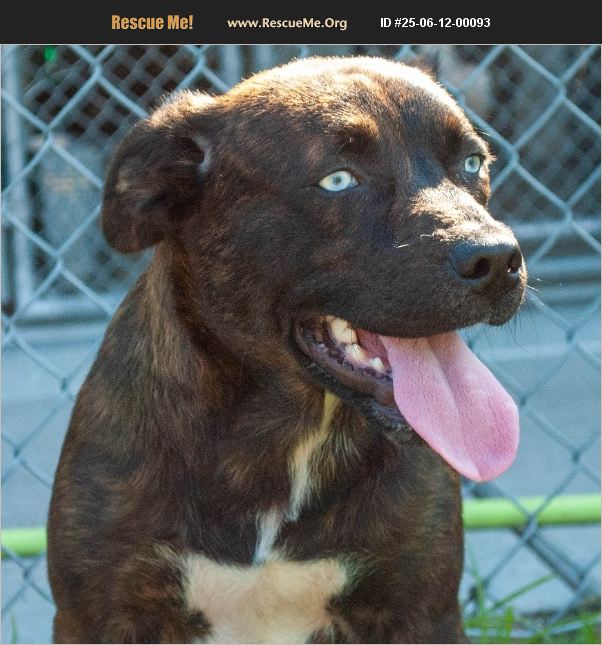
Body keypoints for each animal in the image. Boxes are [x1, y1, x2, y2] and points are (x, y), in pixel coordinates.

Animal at [47, 56, 526, 643]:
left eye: (472, 163)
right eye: (338, 180)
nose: (498, 259)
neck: (289, 439)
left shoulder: (420, 611)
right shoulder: (99, 615)